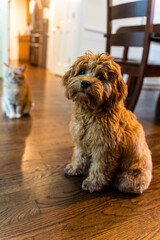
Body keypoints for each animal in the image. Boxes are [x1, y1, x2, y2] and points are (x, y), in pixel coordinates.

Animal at [62, 51, 152, 194]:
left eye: (100, 76)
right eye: (82, 71)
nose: (84, 83)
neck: (90, 113)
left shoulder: (105, 148)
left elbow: (99, 167)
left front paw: (92, 183)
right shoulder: (82, 140)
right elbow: (78, 156)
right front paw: (74, 168)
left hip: (131, 179)